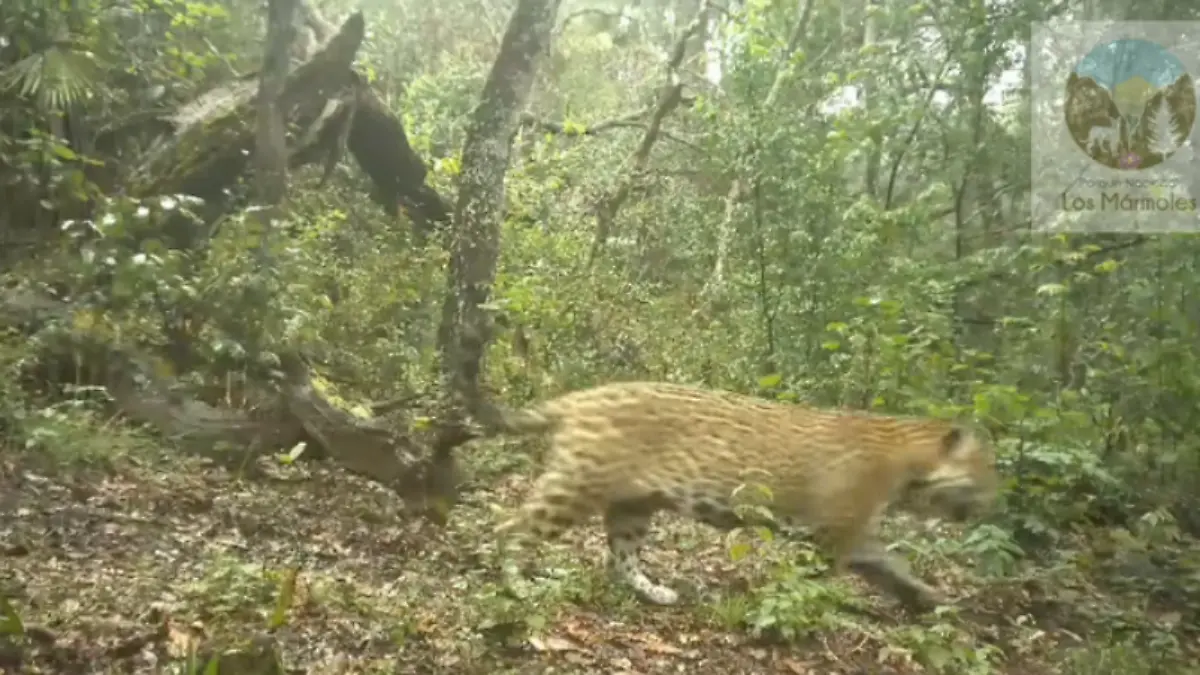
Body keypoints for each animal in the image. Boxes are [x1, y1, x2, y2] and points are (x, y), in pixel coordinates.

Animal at [473, 380, 999, 611]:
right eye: (984, 472)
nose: (991, 505)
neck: (908, 464)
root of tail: (581, 396)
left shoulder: (856, 534)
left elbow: (894, 567)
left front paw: (929, 599)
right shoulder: (833, 533)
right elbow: (821, 580)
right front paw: (816, 607)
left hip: (632, 505)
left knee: (621, 557)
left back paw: (658, 592)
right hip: (577, 486)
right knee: (509, 526)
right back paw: (517, 586)